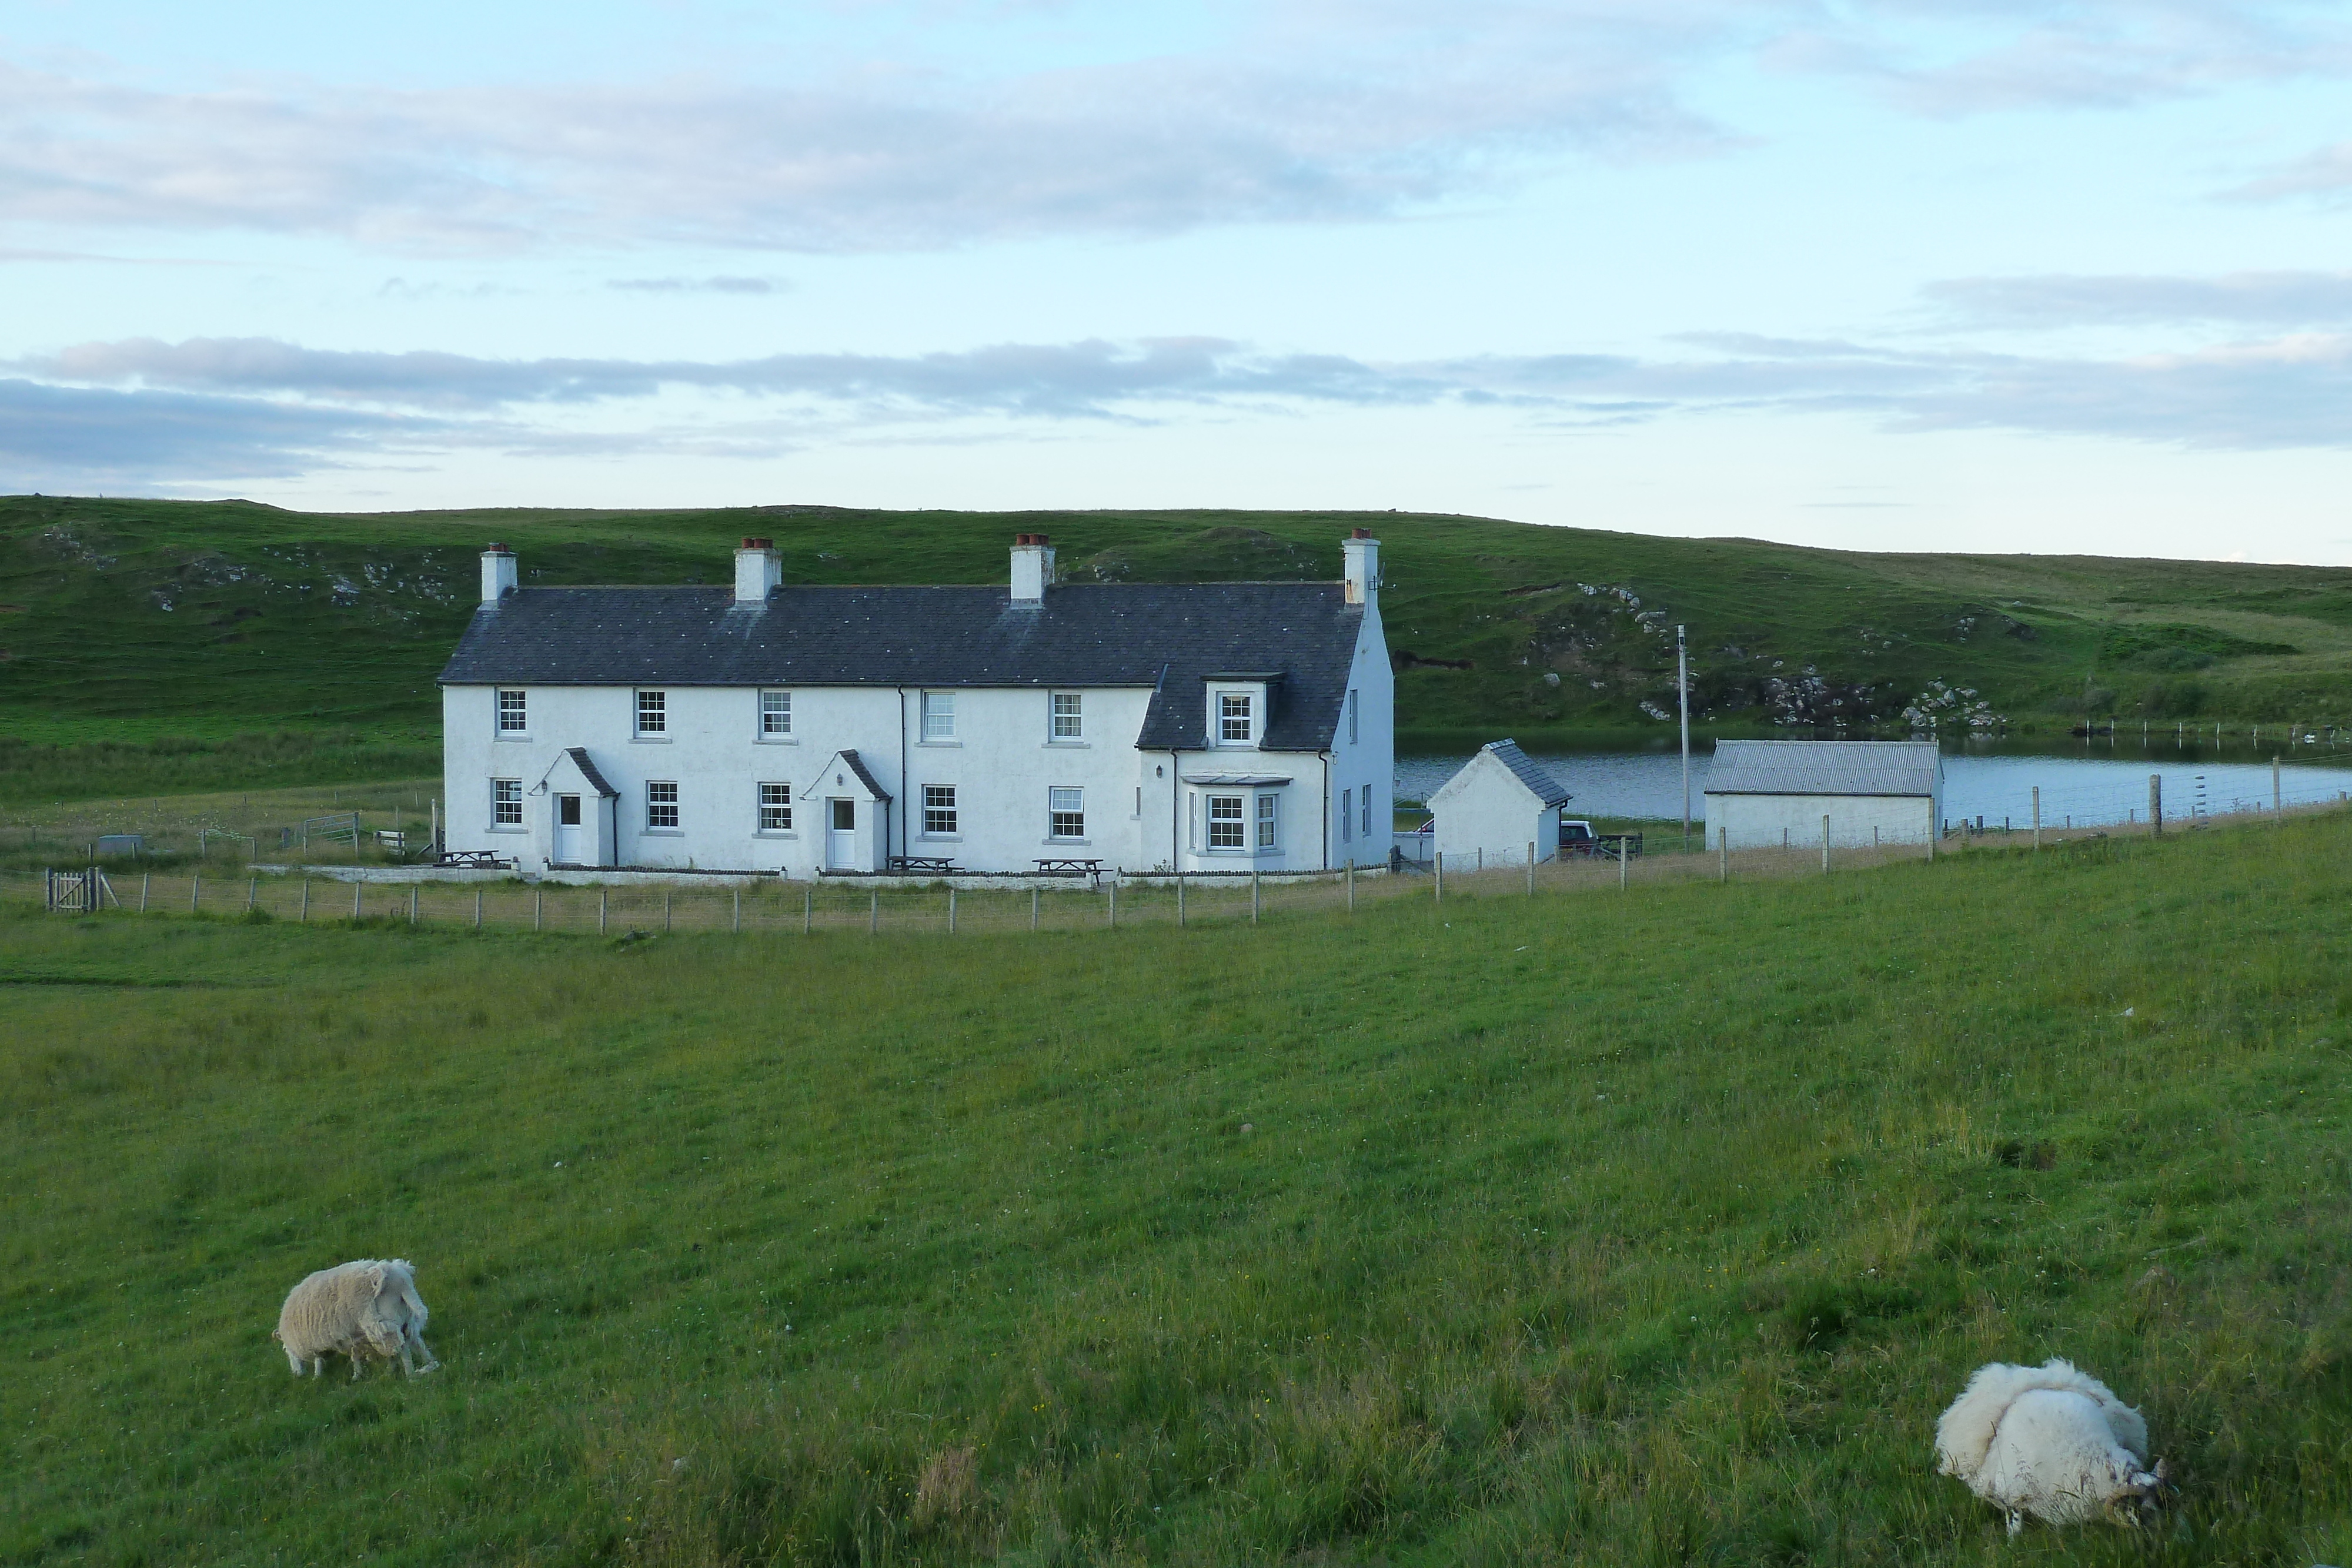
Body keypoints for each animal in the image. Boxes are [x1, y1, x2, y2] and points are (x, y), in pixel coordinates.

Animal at [275, 1260, 442, 1382]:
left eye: (285, 1351)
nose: (296, 1374)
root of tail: (399, 1277)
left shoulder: (318, 1341)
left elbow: (319, 1360)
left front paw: (317, 1376)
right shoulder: (351, 1334)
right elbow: (355, 1354)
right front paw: (358, 1373)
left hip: (381, 1323)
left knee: (402, 1348)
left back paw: (410, 1375)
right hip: (406, 1318)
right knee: (415, 1341)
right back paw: (429, 1363)